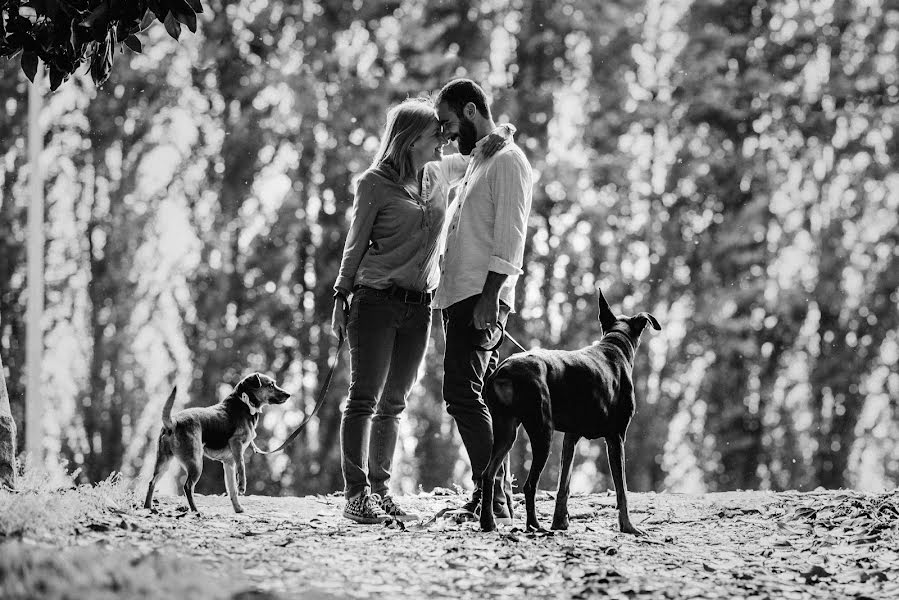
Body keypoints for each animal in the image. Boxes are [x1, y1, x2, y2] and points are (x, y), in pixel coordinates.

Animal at [142, 372, 288, 512]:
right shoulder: (236, 445)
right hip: (196, 462)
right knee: (188, 486)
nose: (289, 394)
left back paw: (148, 506)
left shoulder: (229, 463)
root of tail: (174, 422)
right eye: (271, 385)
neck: (245, 403)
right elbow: (242, 468)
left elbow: (232, 489)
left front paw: (238, 508)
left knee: (152, 482)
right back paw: (195, 510)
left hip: (163, 462)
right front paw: (242, 486)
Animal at [482, 292, 656, 532]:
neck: (614, 346)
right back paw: (534, 526)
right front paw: (628, 526)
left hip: (505, 429)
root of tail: (504, 370)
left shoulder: (570, 437)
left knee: (487, 474)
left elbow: (563, 484)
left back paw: (488, 522)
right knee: (529, 484)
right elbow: (622, 490)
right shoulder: (616, 437)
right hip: (542, 432)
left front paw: (560, 522)